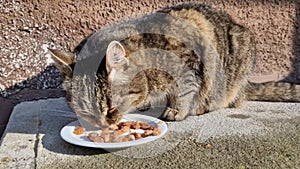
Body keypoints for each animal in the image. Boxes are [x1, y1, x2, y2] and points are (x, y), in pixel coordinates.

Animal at [48, 2, 300, 128]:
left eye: (111, 109)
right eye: (86, 112)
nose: (102, 126)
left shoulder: (189, 65)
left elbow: (184, 91)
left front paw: (177, 110)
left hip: (237, 57)